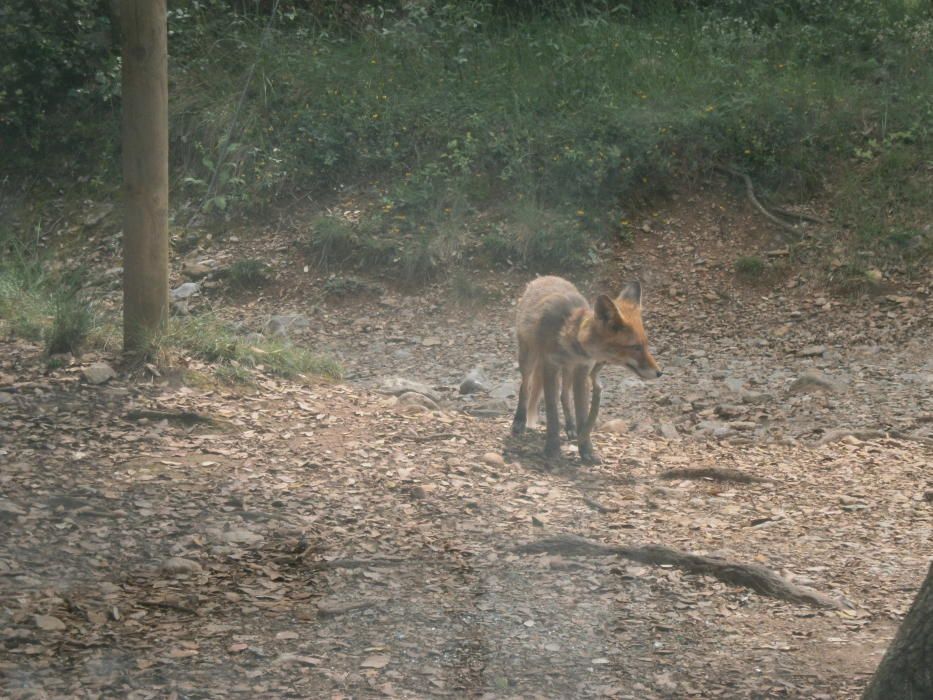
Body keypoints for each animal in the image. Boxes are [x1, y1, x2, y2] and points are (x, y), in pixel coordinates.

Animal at [510, 276, 664, 462]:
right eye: (635, 347)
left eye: (646, 345)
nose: (659, 373)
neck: (568, 336)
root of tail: (544, 277)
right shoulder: (550, 367)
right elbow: (552, 414)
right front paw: (552, 449)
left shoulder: (582, 371)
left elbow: (583, 415)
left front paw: (586, 450)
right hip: (529, 359)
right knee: (525, 387)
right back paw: (519, 420)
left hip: (568, 371)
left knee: (564, 396)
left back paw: (570, 427)